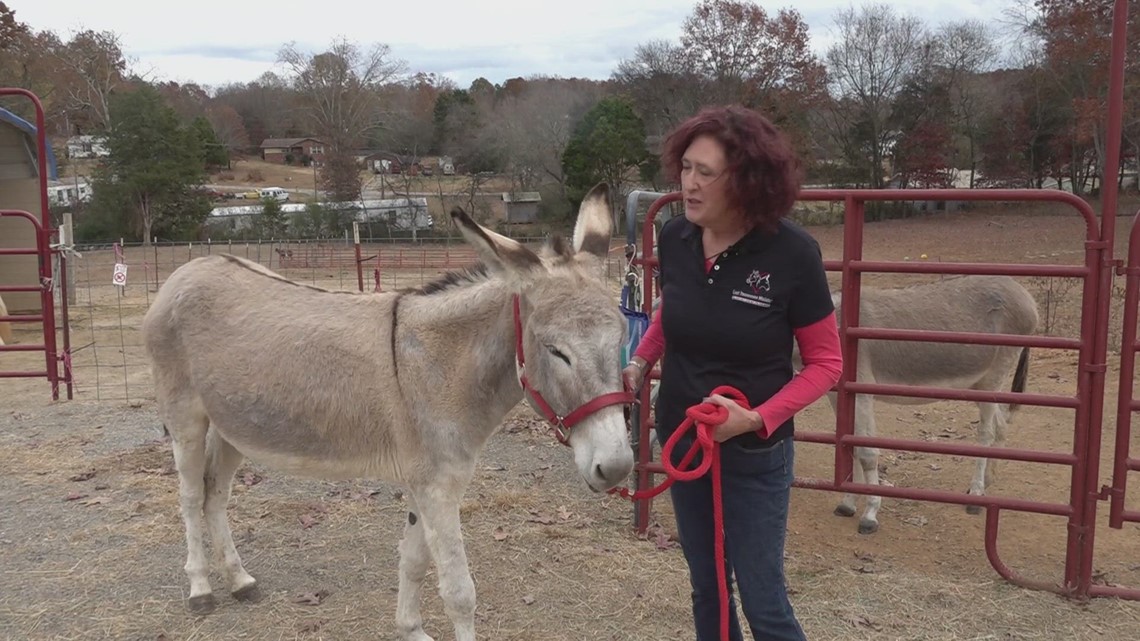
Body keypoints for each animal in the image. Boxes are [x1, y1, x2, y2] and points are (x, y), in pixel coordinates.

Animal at [141, 183, 636, 641]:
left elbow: (414, 560)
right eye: (556, 351)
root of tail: (190, 268)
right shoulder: (438, 487)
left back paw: (239, 579)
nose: (616, 467)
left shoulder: (424, 484)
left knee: (215, 494)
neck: (443, 366)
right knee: (189, 496)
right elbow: (459, 592)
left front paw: (410, 628)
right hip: (186, 418)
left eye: (621, 337)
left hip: (232, 425)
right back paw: (201, 588)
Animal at [799, 275, 1039, 534]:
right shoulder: (839, 395)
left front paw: (870, 513)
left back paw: (975, 496)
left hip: (994, 377)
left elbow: (865, 452)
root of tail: (1022, 291)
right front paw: (848, 503)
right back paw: (985, 483)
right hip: (979, 384)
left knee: (987, 432)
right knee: (1001, 425)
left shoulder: (861, 391)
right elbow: (851, 443)